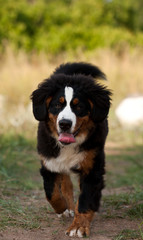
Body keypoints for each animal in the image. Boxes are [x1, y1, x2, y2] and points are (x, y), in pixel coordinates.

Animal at [31, 62, 111, 238]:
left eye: (79, 106)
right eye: (57, 105)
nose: (65, 124)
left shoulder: (92, 167)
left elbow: (85, 199)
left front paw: (79, 226)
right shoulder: (49, 161)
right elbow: (52, 193)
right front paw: (62, 209)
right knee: (65, 183)